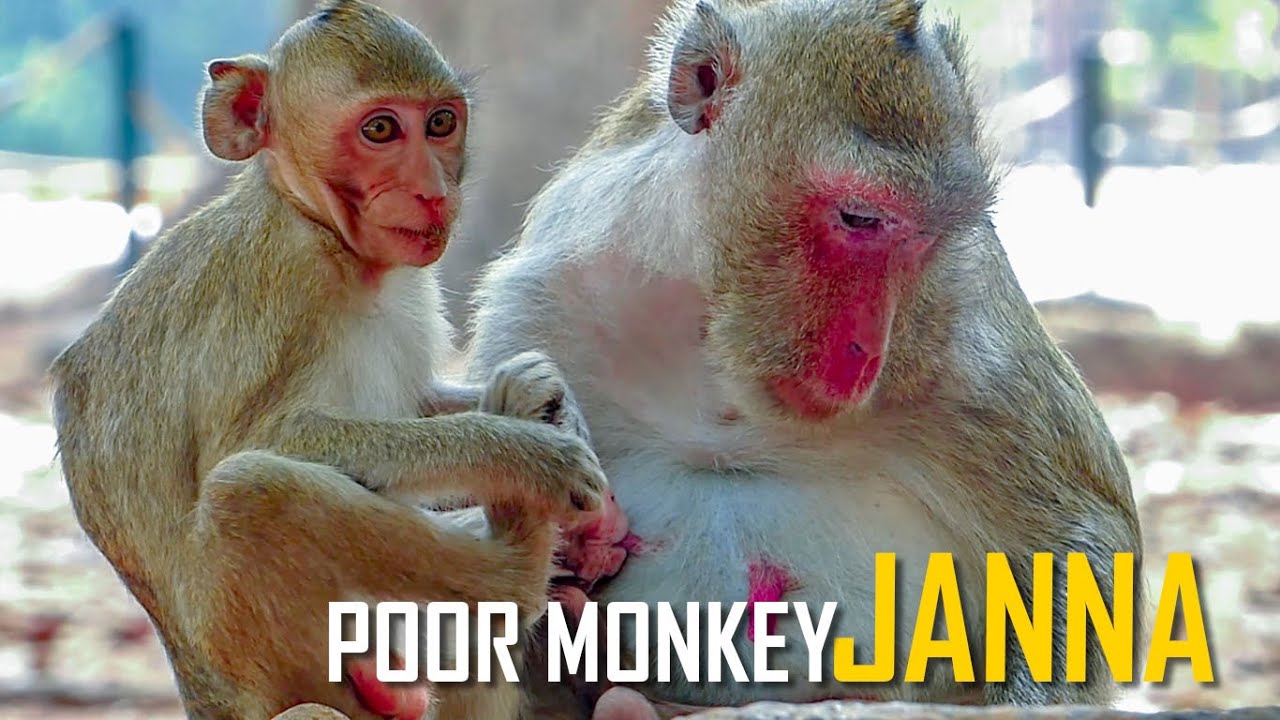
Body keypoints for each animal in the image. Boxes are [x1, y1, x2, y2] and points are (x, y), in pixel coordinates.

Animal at [47, 2, 624, 718]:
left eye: (440, 123)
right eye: (380, 129)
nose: (433, 191)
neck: (331, 237)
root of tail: (206, 692)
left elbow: (418, 404)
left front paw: (553, 401)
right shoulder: (283, 282)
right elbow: (259, 440)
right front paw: (528, 455)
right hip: (258, 648)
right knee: (248, 493)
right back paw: (515, 560)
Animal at [464, 0, 1145, 716]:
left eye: (929, 241)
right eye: (860, 219)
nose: (867, 350)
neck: (716, 347)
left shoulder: (971, 336)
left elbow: (1078, 544)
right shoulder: (536, 301)